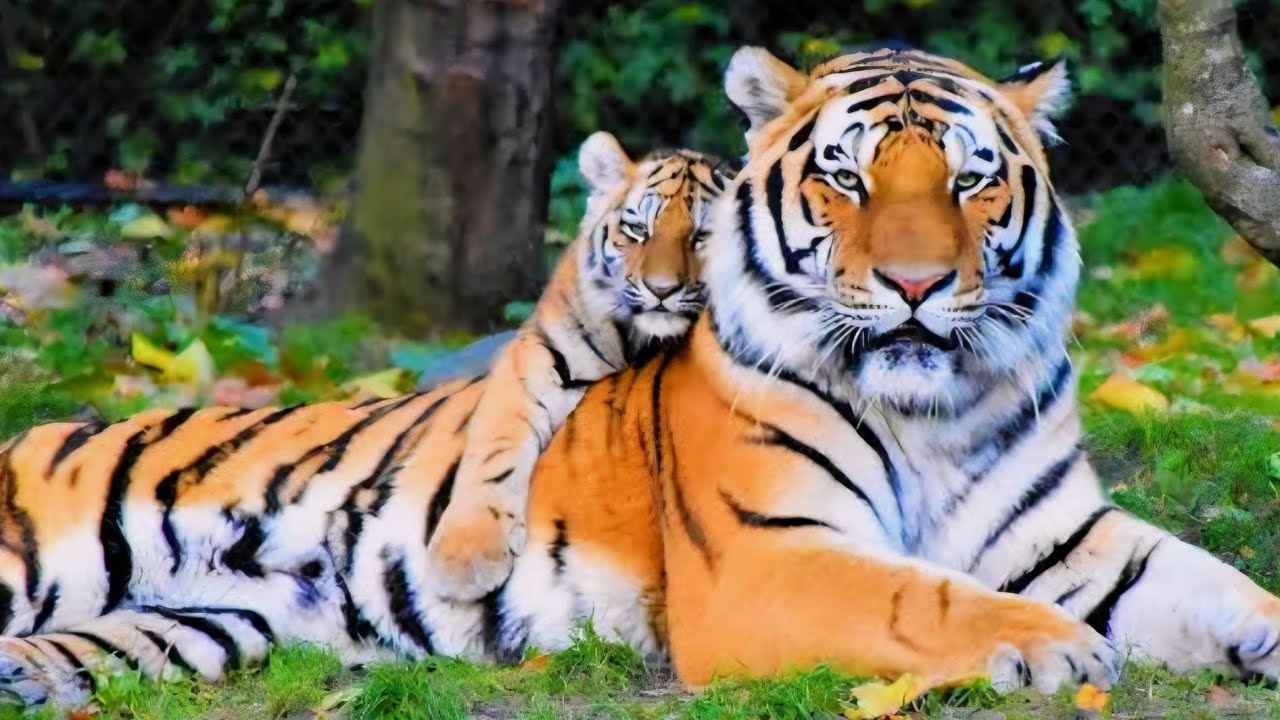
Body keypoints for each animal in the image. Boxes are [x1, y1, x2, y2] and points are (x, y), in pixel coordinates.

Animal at [422, 131, 730, 601]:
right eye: (638, 230)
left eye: (702, 235)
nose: (661, 290)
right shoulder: (537, 353)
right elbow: (494, 447)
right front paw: (464, 559)